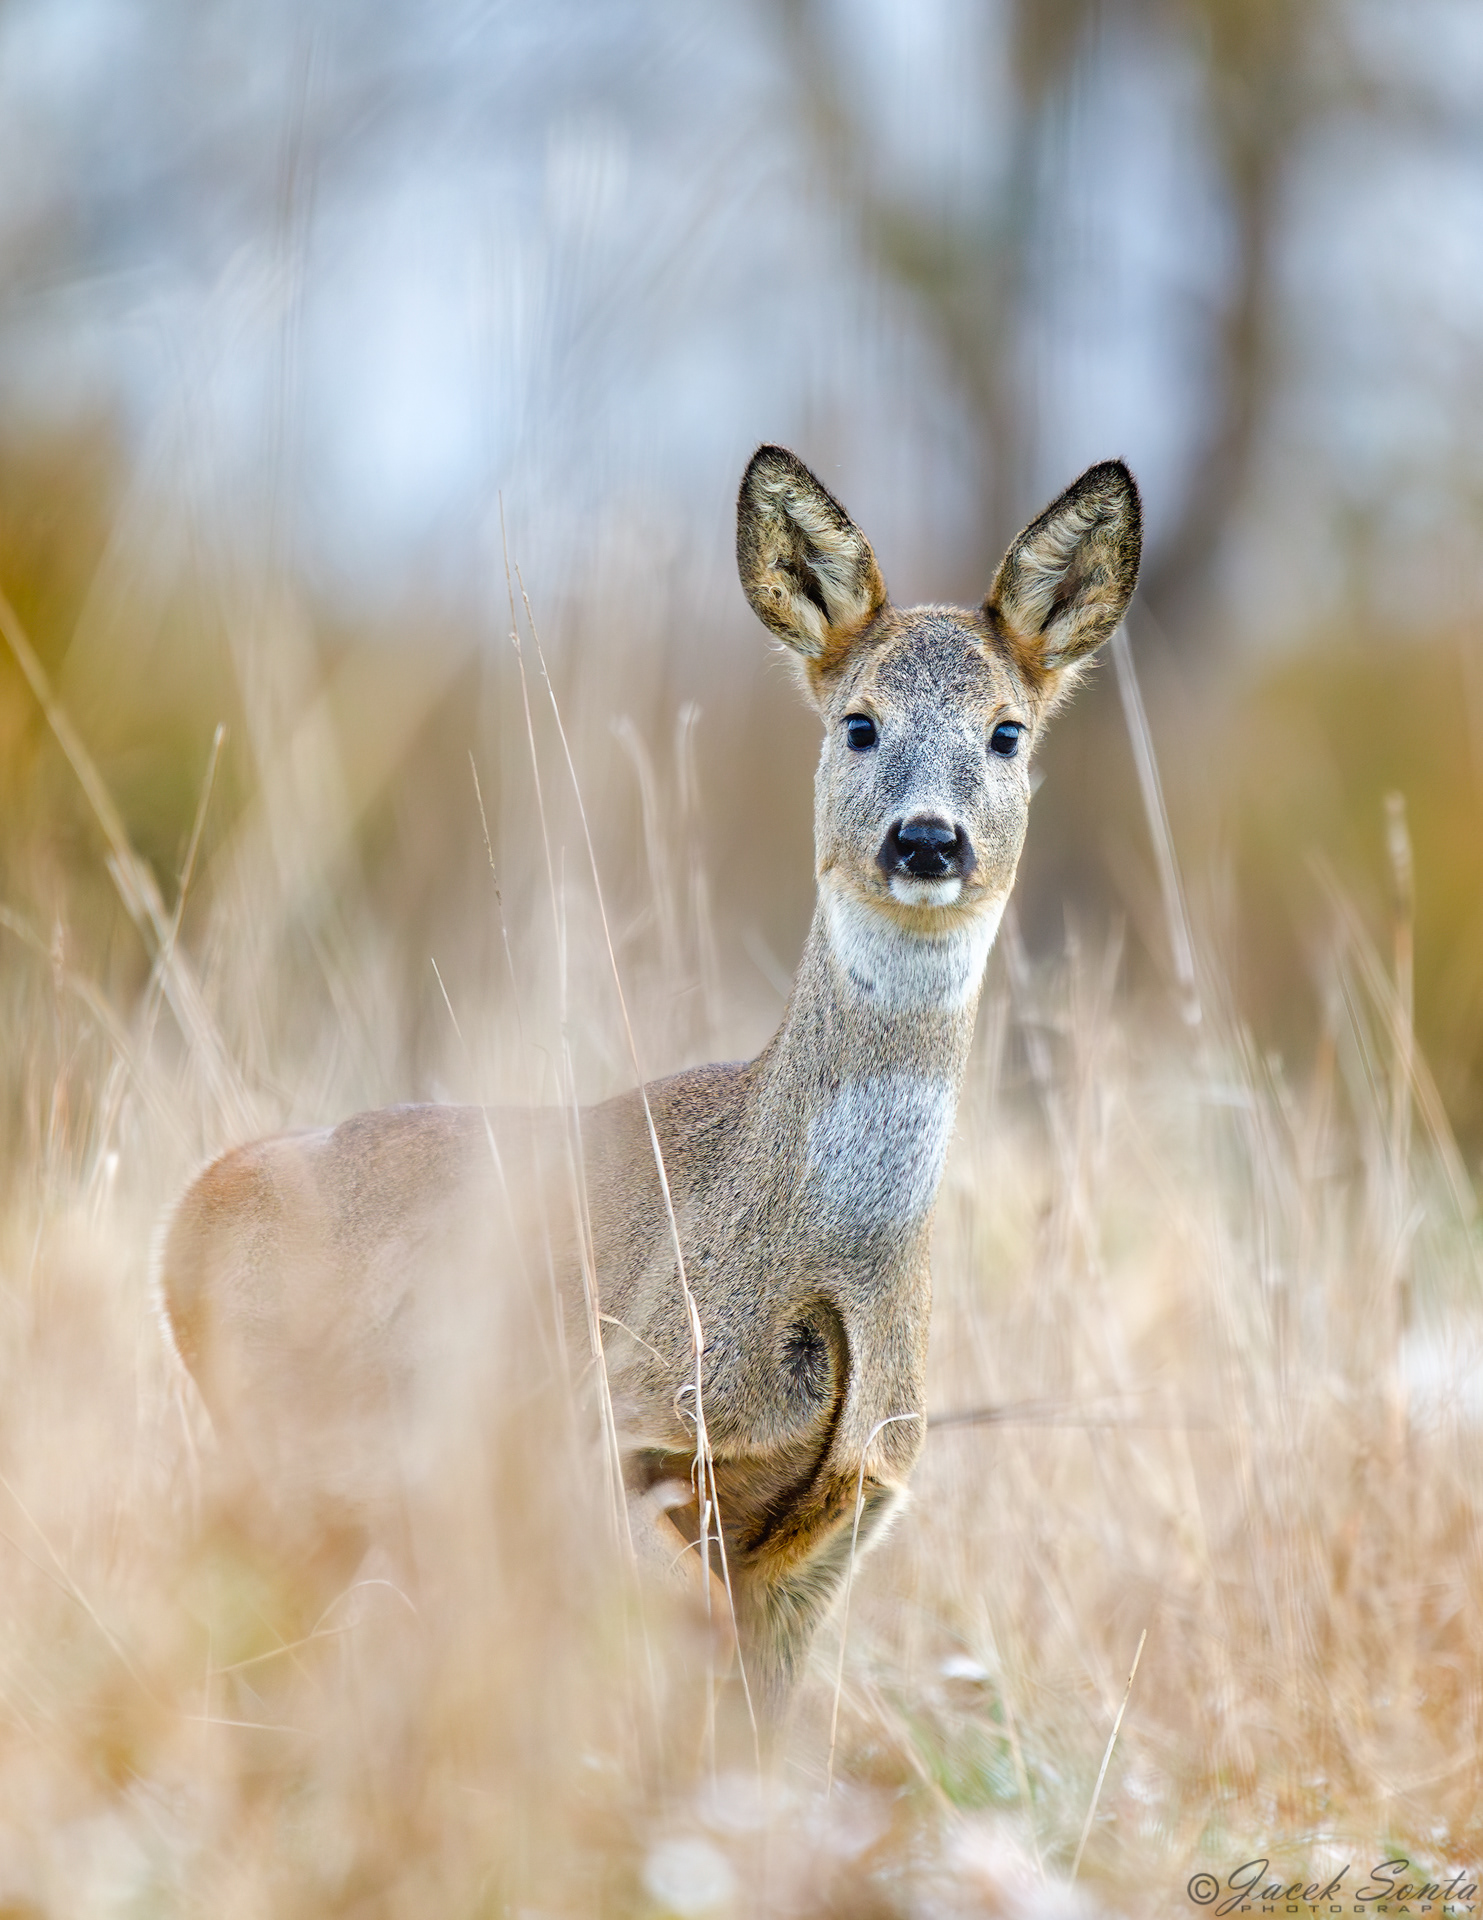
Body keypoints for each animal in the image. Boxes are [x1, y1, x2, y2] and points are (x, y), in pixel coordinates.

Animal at [160, 445, 1141, 1725]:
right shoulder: (611, 1445)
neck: (816, 1271)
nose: (927, 842)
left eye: (1008, 732)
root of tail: (185, 1216)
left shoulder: (838, 1526)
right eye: (858, 724)